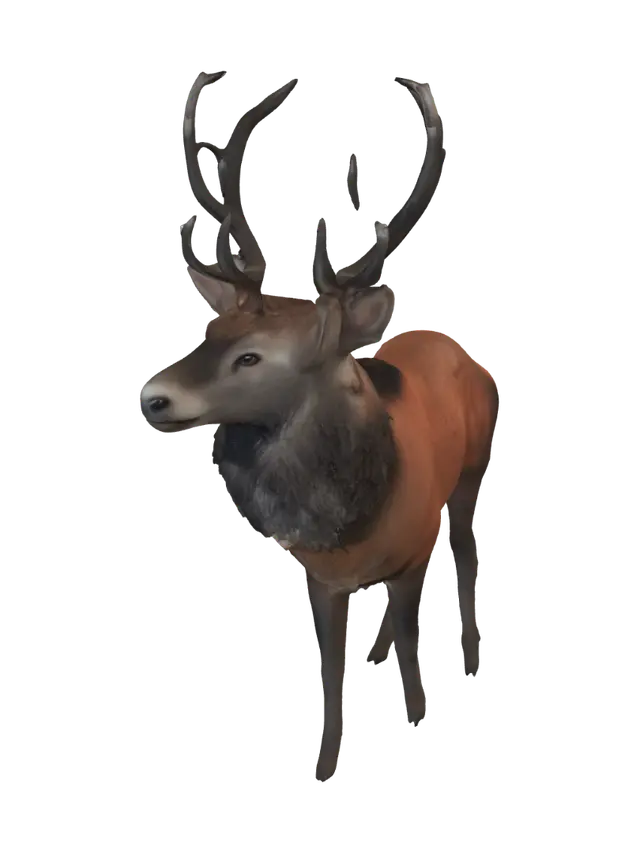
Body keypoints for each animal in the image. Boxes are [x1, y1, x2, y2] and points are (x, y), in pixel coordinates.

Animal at [139, 70, 500, 782]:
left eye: (253, 357)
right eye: (211, 331)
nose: (153, 397)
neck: (355, 520)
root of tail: (457, 346)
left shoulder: (413, 552)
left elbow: (415, 653)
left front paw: (417, 716)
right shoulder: (321, 577)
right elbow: (331, 670)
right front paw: (325, 763)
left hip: (470, 475)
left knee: (467, 551)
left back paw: (470, 659)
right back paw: (380, 650)